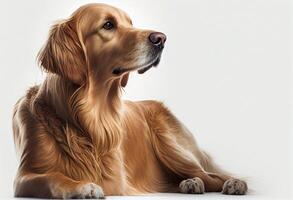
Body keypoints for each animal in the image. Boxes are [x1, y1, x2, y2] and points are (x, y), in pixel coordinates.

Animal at [13, 3, 246, 198]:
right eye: (108, 25)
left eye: (131, 23)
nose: (161, 38)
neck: (87, 117)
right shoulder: (23, 177)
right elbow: (54, 177)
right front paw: (82, 186)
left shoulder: (116, 180)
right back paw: (189, 183)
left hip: (172, 147)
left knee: (211, 175)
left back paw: (232, 183)